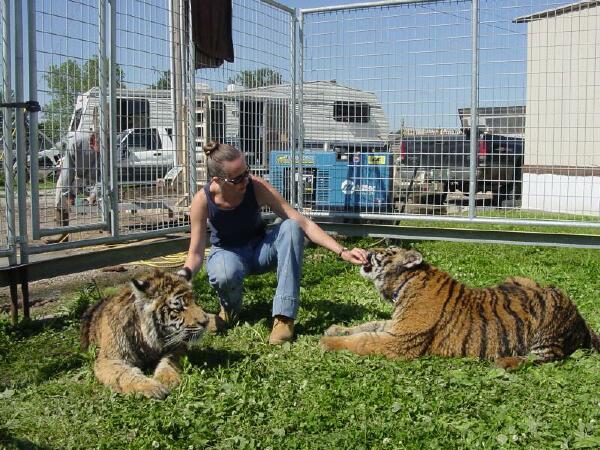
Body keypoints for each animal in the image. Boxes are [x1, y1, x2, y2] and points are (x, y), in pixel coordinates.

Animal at [80, 269, 211, 399]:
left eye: (194, 301)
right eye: (178, 309)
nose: (206, 321)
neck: (146, 340)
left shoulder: (177, 346)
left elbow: (168, 362)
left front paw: (166, 379)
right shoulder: (109, 360)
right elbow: (124, 374)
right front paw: (153, 387)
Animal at [321, 247, 600, 370]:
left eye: (386, 251)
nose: (365, 251)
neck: (404, 284)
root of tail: (581, 318)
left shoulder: (401, 341)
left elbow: (363, 340)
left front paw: (327, 343)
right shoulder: (396, 326)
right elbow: (369, 325)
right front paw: (335, 329)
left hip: (548, 331)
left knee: (540, 358)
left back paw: (504, 362)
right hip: (519, 279)